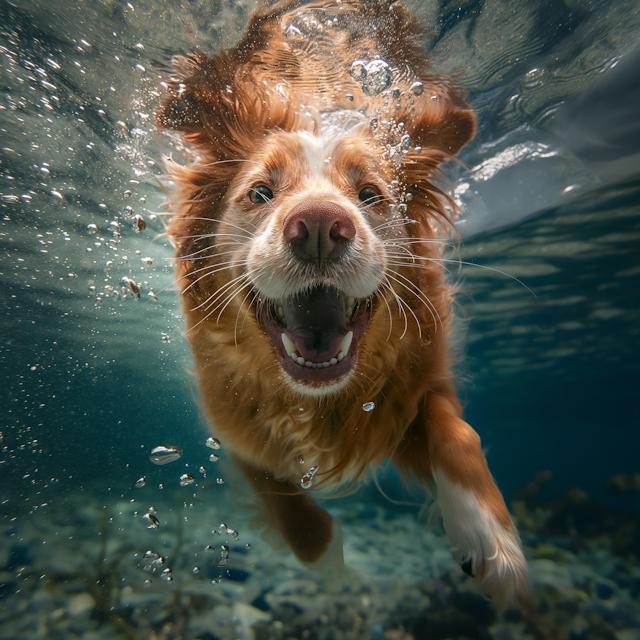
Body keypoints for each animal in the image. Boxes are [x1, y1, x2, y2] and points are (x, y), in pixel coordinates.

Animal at [158, 0, 528, 604]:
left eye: (371, 194)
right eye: (260, 192)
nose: (317, 227)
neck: (319, 401)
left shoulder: (419, 381)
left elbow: (458, 432)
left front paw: (491, 538)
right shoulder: (234, 435)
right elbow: (292, 509)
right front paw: (336, 572)